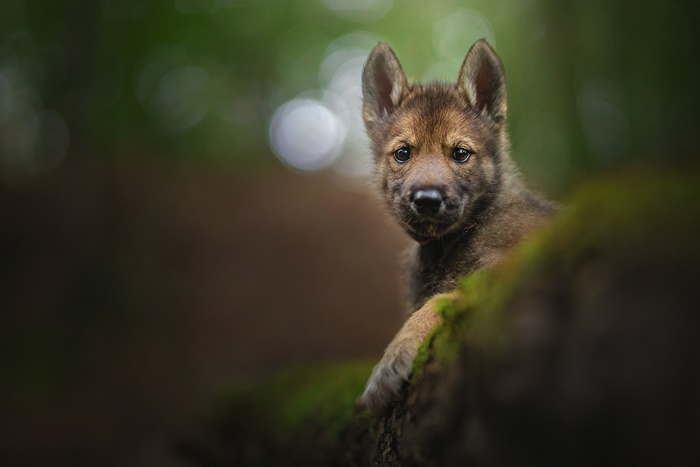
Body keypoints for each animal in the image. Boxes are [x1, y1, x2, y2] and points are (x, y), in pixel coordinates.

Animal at [361, 39, 556, 416]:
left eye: (460, 153)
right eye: (403, 153)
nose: (426, 200)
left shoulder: (500, 277)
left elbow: (436, 303)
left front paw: (390, 362)